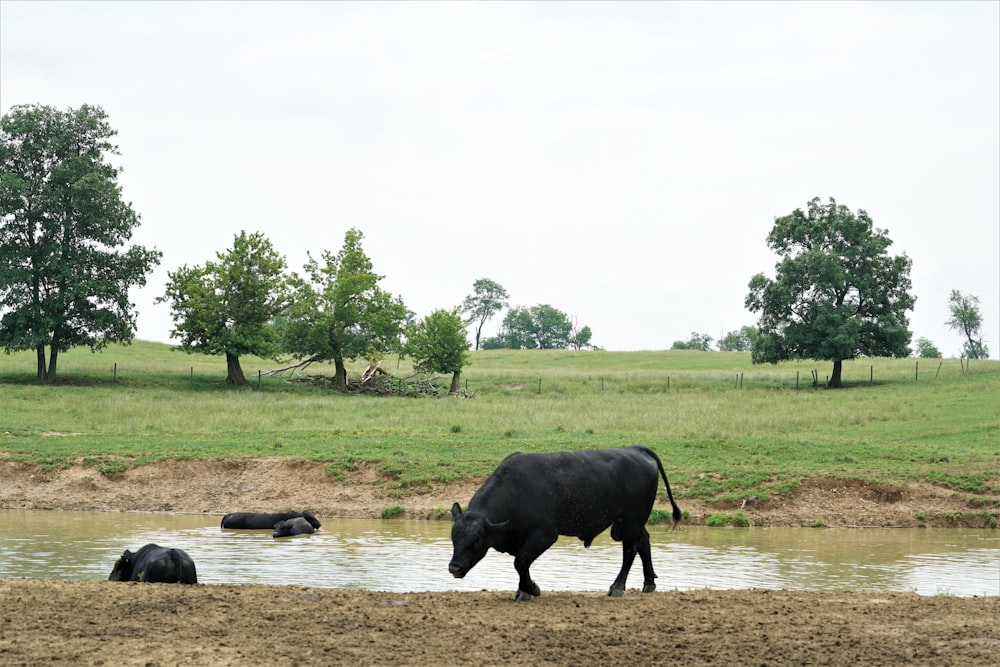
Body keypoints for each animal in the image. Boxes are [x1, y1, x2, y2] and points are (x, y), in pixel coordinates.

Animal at [452, 446, 680, 604]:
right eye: (454, 539)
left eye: (476, 541)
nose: (454, 567)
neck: (517, 491)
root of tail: (636, 449)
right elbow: (522, 564)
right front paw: (524, 590)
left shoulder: (545, 534)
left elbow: (521, 562)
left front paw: (531, 589)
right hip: (634, 523)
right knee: (644, 543)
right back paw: (649, 582)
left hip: (630, 521)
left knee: (630, 551)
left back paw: (617, 586)